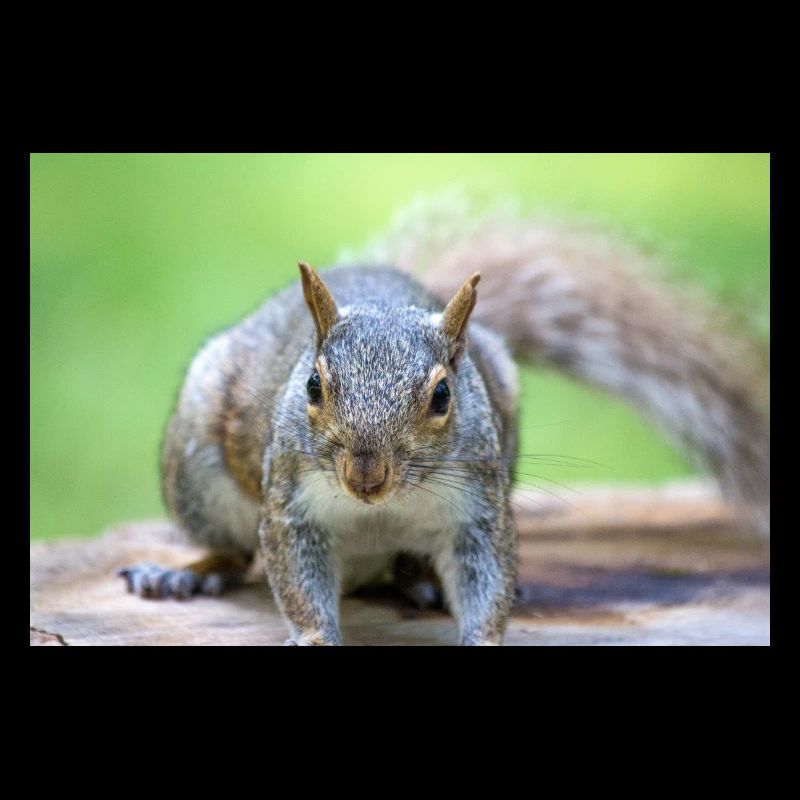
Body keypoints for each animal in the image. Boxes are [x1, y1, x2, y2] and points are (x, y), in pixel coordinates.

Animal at [117, 199, 770, 646]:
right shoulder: (290, 502)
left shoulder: (477, 509)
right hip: (199, 473)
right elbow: (295, 578)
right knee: (232, 551)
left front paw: (483, 631)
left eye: (441, 396)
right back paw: (183, 575)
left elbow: (485, 577)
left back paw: (420, 580)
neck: (378, 511)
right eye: (312, 386)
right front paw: (314, 636)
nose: (366, 476)